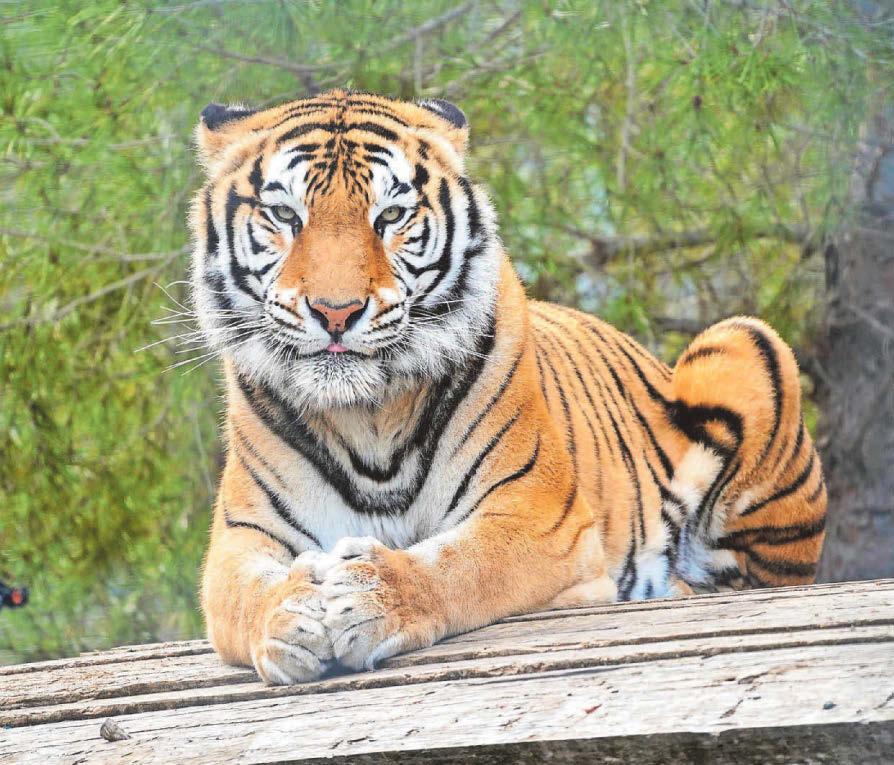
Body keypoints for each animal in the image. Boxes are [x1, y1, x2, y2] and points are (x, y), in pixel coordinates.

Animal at [192, 89, 827, 685]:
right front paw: (291, 616)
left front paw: (371, 596)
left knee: (756, 578)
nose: (336, 311)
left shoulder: (539, 517)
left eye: (390, 216)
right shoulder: (240, 541)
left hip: (743, 341)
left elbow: (461, 564)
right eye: (285, 215)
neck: (366, 412)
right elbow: (247, 596)